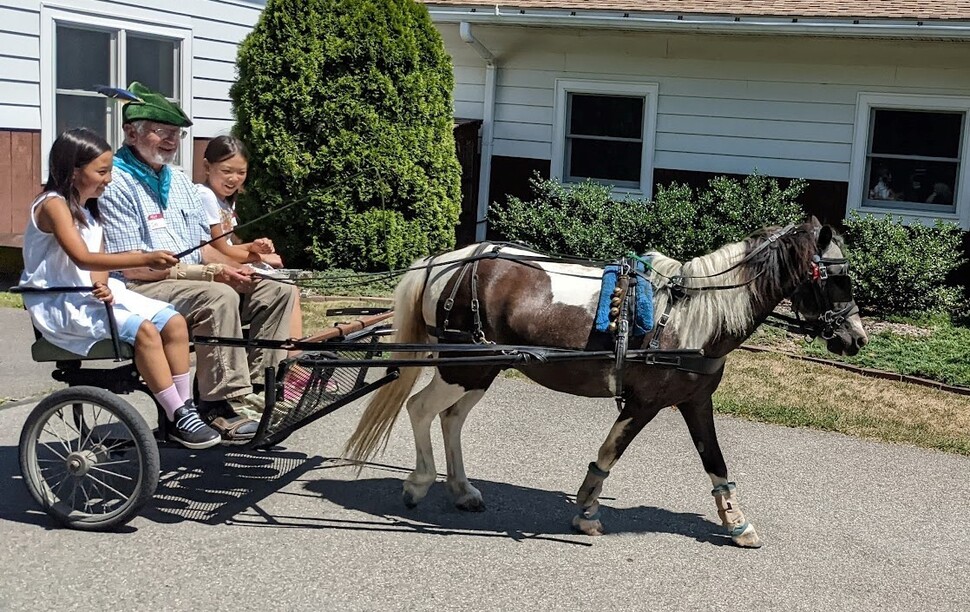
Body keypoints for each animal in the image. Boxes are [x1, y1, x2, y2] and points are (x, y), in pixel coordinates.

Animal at [344, 218, 864, 548]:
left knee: (450, 418)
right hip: (463, 367)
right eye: (838, 279)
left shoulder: (695, 400)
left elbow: (714, 461)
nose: (856, 338)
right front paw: (587, 511)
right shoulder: (644, 402)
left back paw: (461, 490)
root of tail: (452, 261)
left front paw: (736, 523)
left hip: (482, 368)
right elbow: (610, 452)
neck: (691, 316)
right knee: (421, 409)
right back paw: (420, 484)